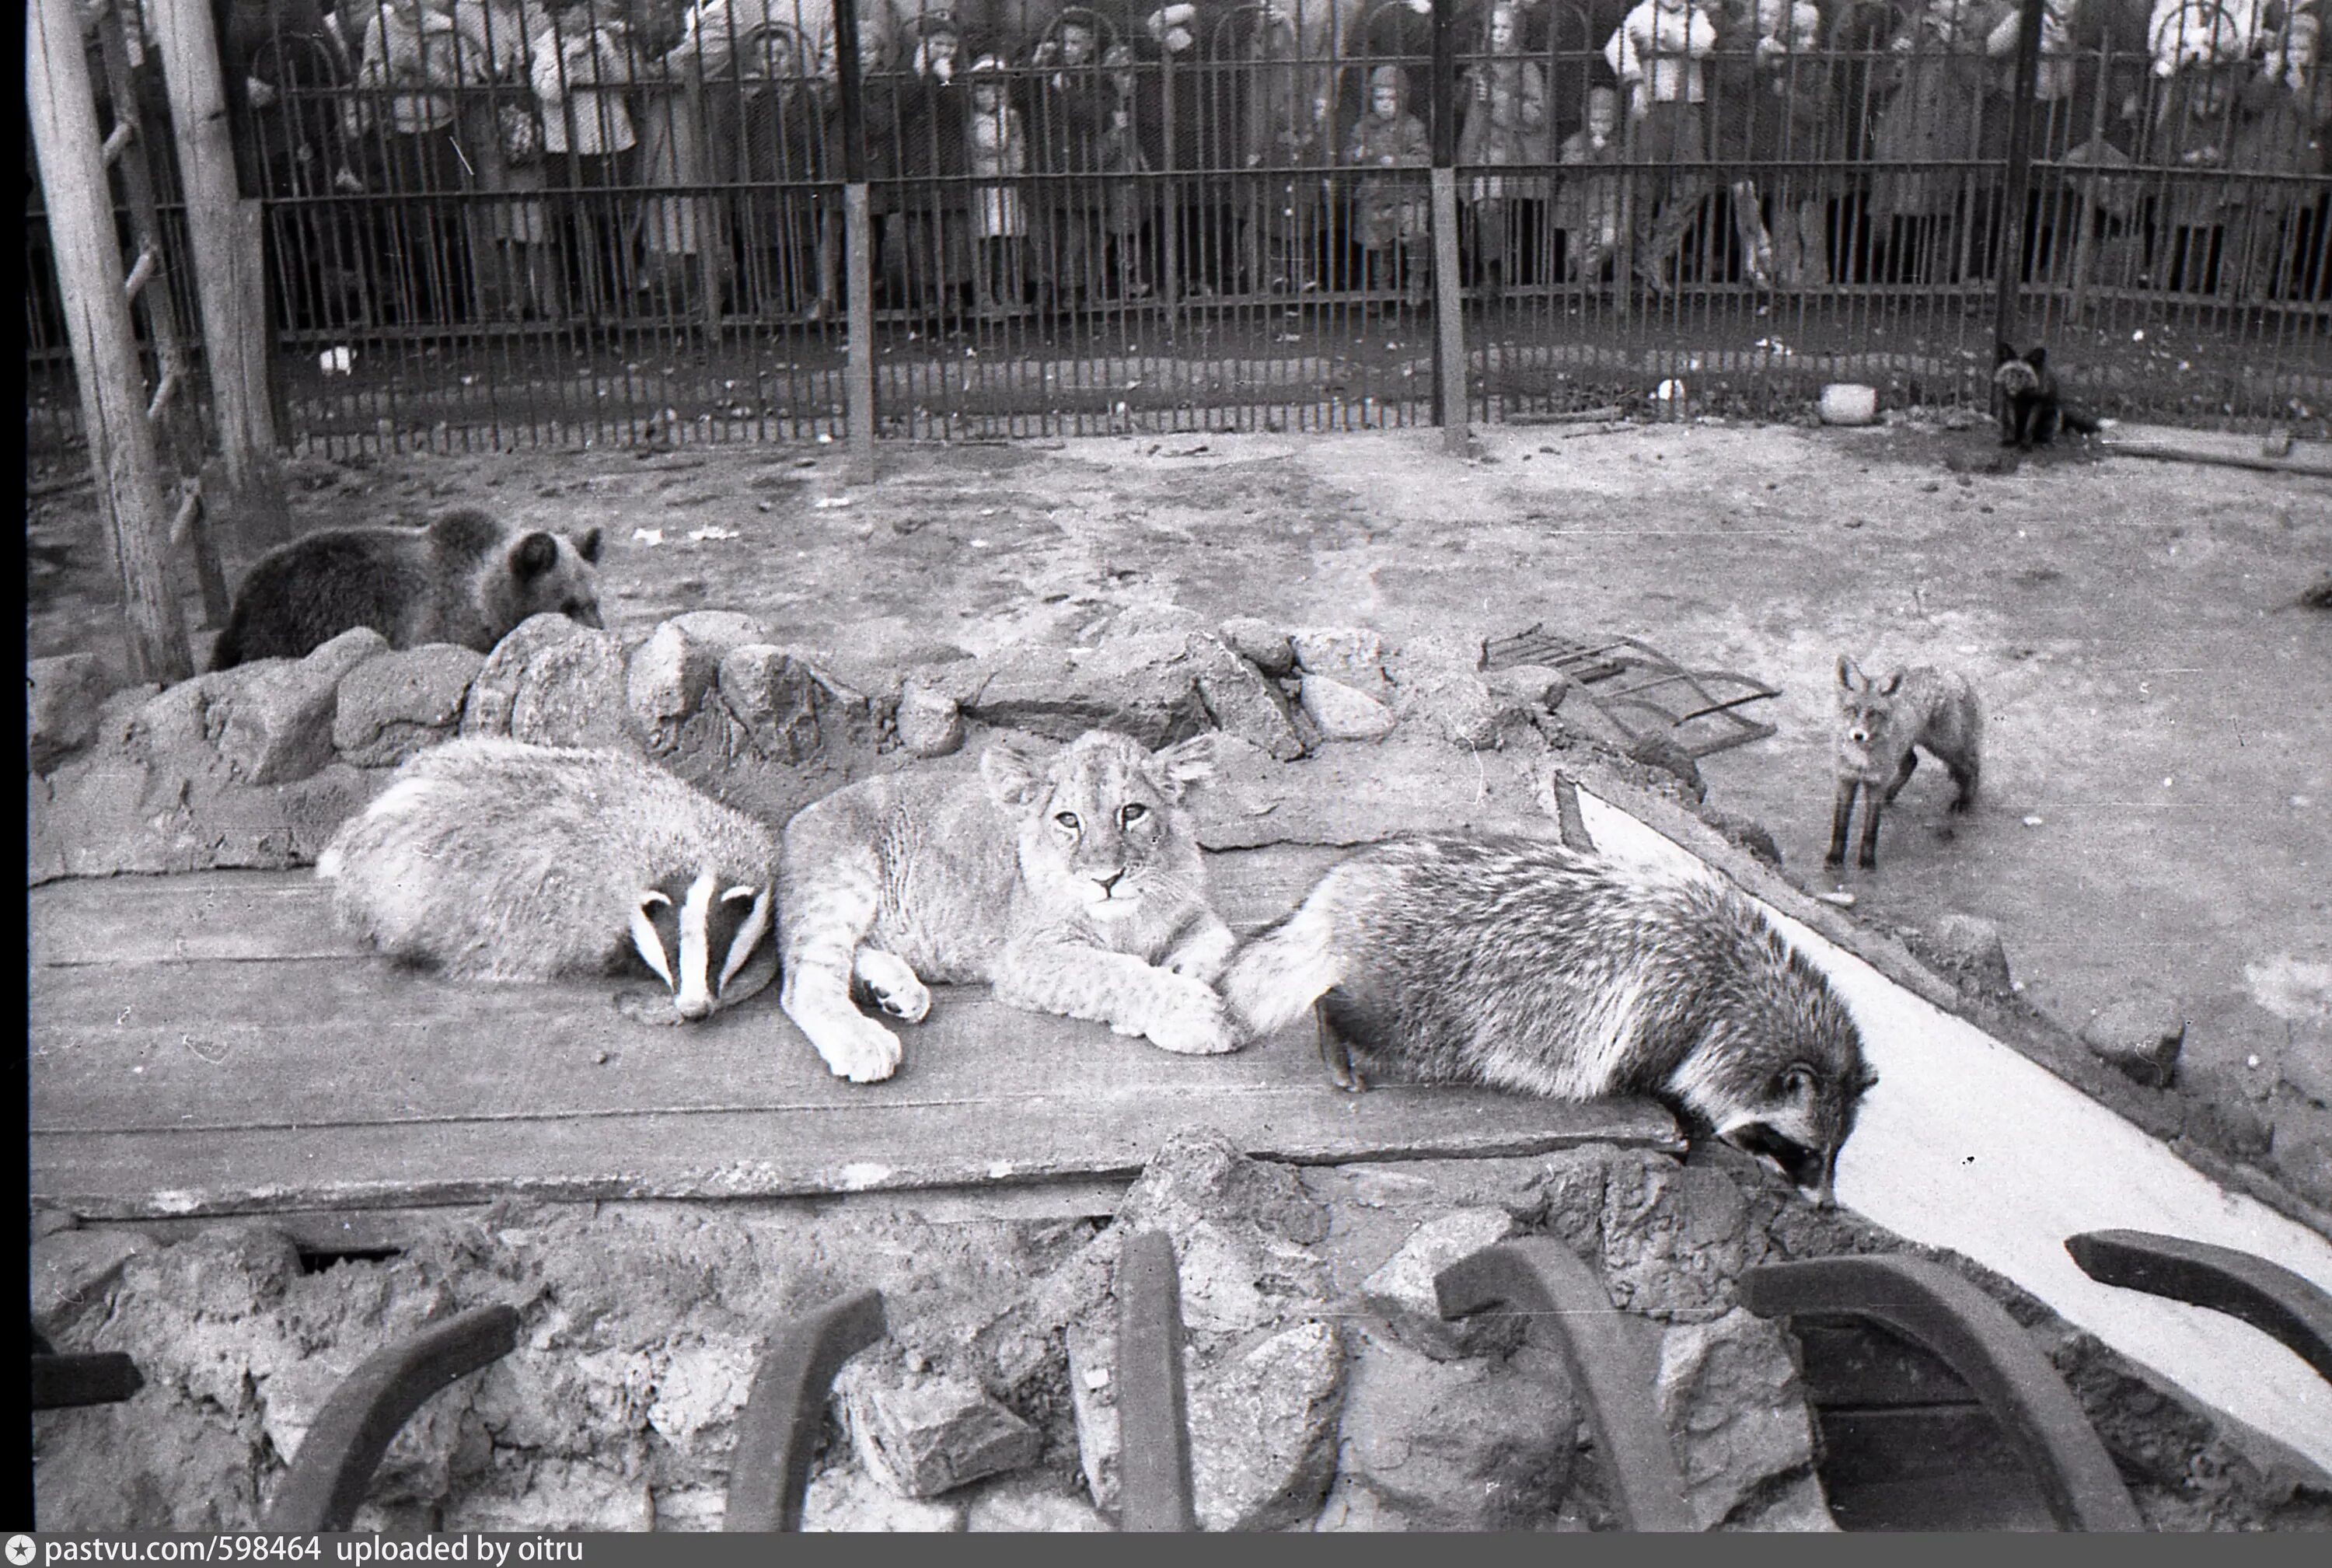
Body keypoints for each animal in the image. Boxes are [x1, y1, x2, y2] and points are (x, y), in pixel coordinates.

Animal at [1819, 648, 1987, 868]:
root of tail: (1954, 674)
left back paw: (1965, 802)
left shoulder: (1876, 783)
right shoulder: (1845, 779)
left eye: (1874, 713)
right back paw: (1891, 795)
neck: (1861, 759)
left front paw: (1867, 862)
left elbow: (1871, 827)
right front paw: (1835, 857)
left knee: (1972, 766)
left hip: (1946, 747)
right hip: (1909, 746)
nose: (1858, 735)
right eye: (1852, 710)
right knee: (1912, 762)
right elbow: (1840, 824)